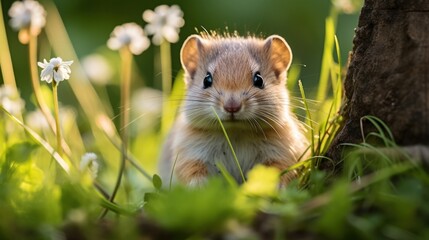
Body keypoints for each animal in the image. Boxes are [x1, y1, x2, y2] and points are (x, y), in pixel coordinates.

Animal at [157, 33, 308, 186]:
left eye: (259, 80)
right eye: (207, 80)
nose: (232, 107)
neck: (235, 131)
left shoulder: (282, 154)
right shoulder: (191, 155)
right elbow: (193, 174)